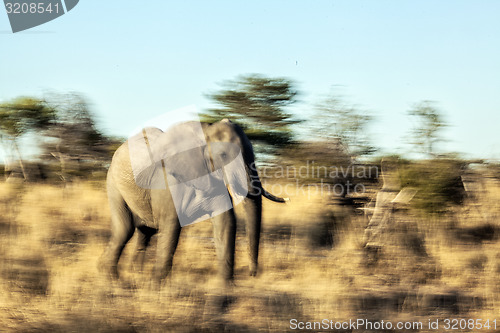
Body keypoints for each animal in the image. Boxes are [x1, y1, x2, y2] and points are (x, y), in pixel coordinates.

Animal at [99, 118, 288, 284]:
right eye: (223, 155)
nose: (252, 274)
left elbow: (225, 222)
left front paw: (226, 287)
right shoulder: (168, 181)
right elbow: (171, 226)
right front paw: (156, 287)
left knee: (145, 232)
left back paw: (134, 273)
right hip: (114, 183)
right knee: (124, 229)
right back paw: (113, 279)